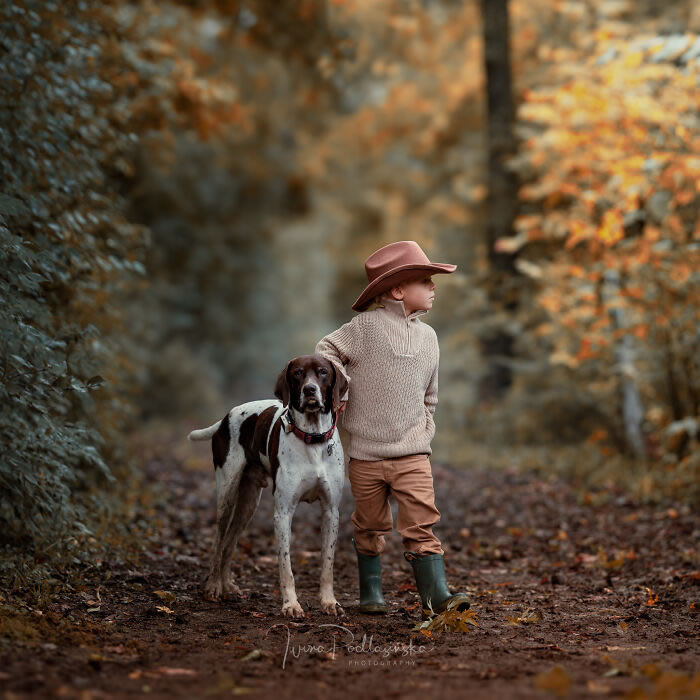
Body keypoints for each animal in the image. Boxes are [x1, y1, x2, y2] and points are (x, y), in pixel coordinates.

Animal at [187, 356, 348, 616]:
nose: (309, 389)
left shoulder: (331, 511)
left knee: (230, 542)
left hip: (249, 504)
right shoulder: (283, 513)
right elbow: (285, 566)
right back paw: (213, 586)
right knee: (219, 541)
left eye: (323, 372)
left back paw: (227, 584)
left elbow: (327, 564)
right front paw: (291, 604)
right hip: (227, 496)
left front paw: (328, 601)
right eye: (298, 373)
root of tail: (224, 419)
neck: (312, 439)